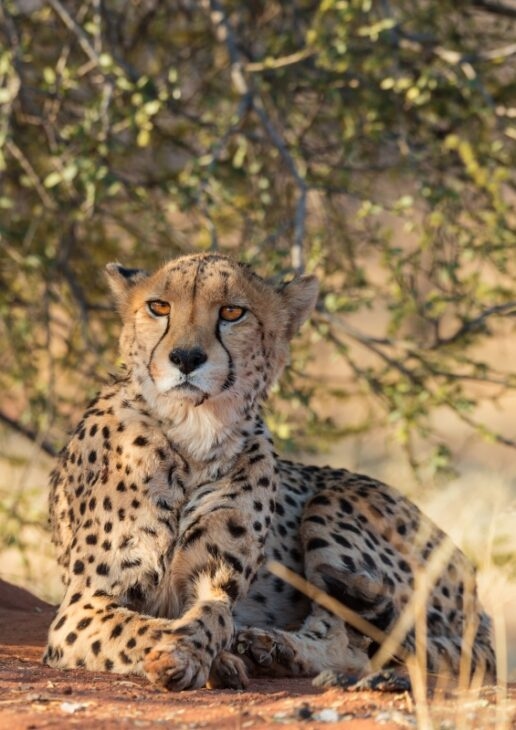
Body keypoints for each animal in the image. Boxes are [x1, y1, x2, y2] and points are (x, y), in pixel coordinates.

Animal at [44, 252, 496, 691]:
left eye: (232, 312)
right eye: (159, 307)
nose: (186, 358)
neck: (194, 435)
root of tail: (473, 583)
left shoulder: (215, 580)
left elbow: (215, 616)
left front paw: (193, 655)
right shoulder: (83, 606)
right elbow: (146, 626)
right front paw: (196, 658)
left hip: (333, 505)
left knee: (350, 643)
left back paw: (274, 648)